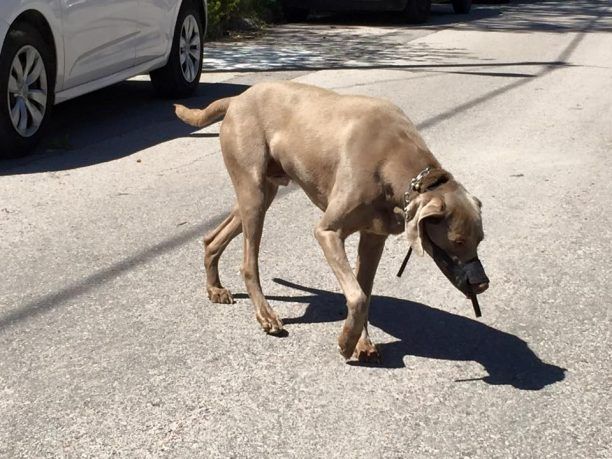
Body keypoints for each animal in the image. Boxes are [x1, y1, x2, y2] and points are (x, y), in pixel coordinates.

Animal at [175, 82, 490, 362]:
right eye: (457, 241)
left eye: (480, 240)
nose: (482, 284)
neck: (398, 163)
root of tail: (238, 98)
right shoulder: (328, 231)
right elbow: (357, 296)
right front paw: (347, 341)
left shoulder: (373, 236)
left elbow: (364, 293)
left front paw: (361, 342)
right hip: (253, 189)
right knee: (248, 264)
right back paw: (265, 315)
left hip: (262, 192)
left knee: (212, 238)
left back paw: (215, 288)